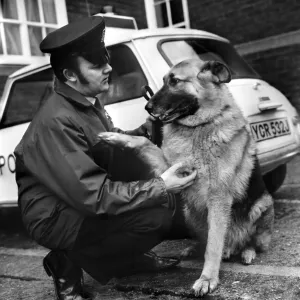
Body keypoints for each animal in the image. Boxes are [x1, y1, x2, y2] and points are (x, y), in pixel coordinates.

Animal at [98, 59, 274, 296]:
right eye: (164, 80)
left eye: (175, 81)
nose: (148, 108)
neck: (199, 127)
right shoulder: (169, 169)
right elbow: (144, 142)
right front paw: (115, 137)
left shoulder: (218, 199)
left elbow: (213, 246)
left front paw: (208, 278)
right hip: (190, 213)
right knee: (204, 238)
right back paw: (194, 248)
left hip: (261, 205)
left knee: (250, 240)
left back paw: (247, 252)